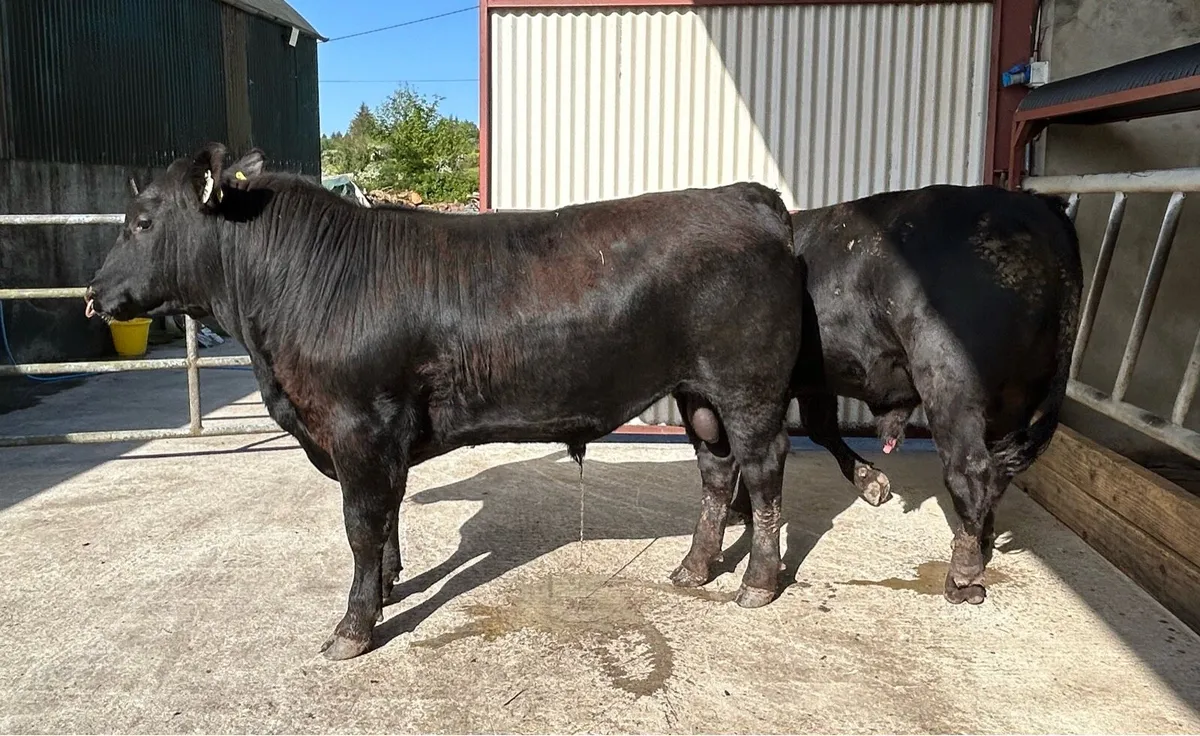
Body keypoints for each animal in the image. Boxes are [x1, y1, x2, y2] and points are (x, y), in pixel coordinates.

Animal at [84, 143, 806, 660]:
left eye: (142, 222)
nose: (93, 294)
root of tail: (746, 196)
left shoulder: (358, 426)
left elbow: (361, 525)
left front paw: (353, 627)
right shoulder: (378, 436)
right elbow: (386, 518)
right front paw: (387, 587)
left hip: (749, 386)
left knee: (763, 473)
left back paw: (758, 583)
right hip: (698, 393)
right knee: (717, 472)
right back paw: (693, 569)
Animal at [728, 184, 1082, 605]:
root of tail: (1035, 207)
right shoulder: (813, 379)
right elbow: (819, 427)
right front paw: (869, 480)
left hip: (949, 380)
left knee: (970, 470)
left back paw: (963, 576)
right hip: (1017, 399)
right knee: (998, 471)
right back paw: (979, 542)